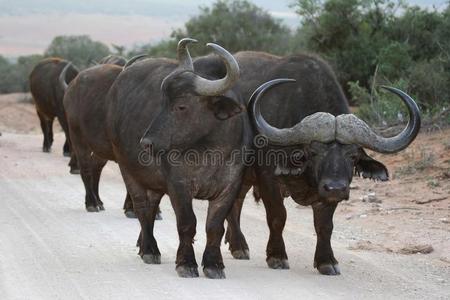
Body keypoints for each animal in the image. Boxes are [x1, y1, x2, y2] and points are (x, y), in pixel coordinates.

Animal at [107, 38, 251, 278]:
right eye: (162, 102)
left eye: (181, 106)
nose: (146, 143)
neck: (210, 151)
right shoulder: (178, 185)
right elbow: (187, 223)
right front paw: (186, 263)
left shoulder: (229, 187)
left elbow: (215, 227)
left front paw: (213, 264)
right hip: (128, 170)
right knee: (142, 209)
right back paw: (150, 249)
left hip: (154, 182)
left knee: (152, 208)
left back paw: (143, 245)